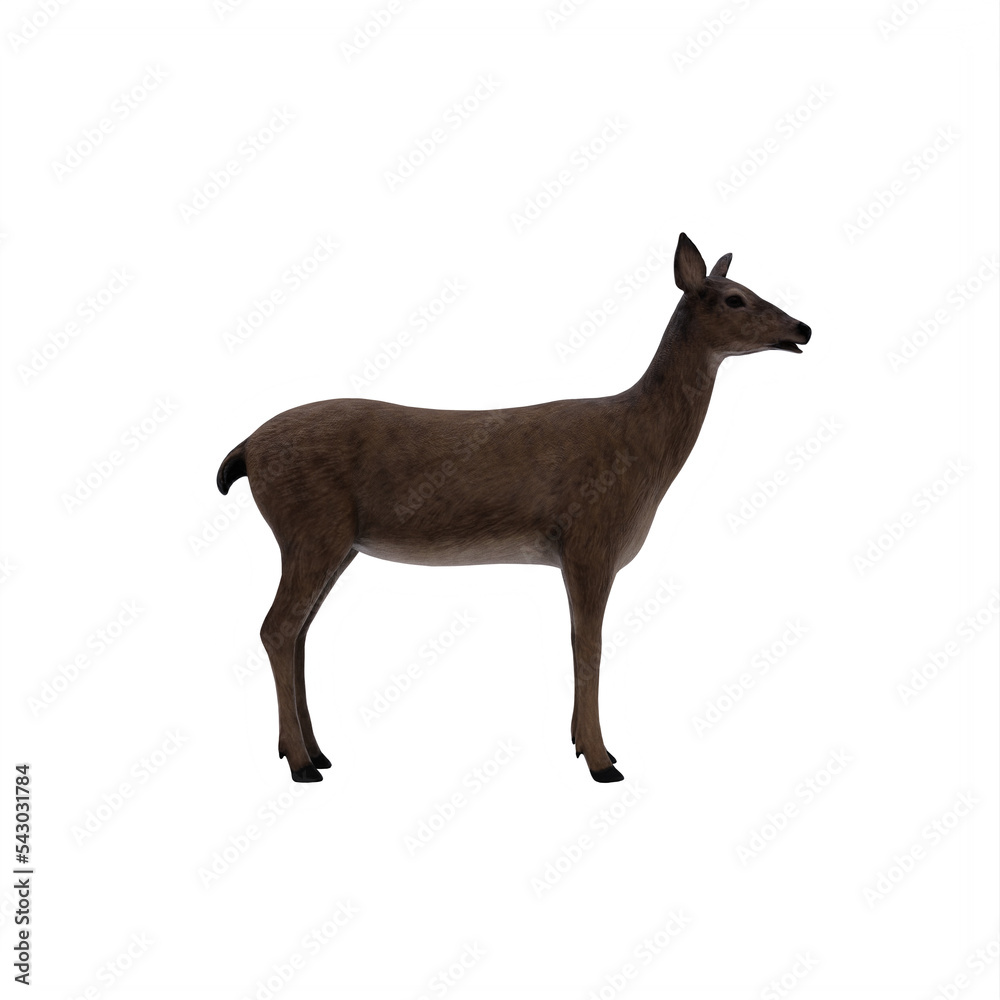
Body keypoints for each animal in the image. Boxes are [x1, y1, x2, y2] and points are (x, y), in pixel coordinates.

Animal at [217, 233, 811, 784]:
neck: (642, 455)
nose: (803, 328)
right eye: (735, 298)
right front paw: (602, 761)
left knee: (298, 631)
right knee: (277, 628)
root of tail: (246, 449)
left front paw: (585, 745)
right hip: (310, 527)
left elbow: (580, 643)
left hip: (336, 542)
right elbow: (587, 644)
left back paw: (314, 752)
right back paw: (301, 763)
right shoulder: (589, 541)